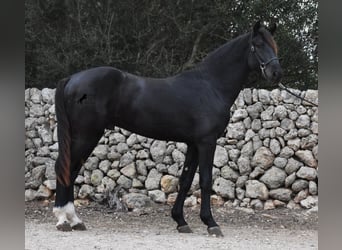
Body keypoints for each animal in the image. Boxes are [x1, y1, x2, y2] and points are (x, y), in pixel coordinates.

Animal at [52, 21, 280, 236]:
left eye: (274, 45)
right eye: (257, 45)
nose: (275, 72)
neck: (210, 85)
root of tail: (71, 79)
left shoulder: (193, 143)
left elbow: (186, 180)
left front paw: (180, 221)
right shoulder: (207, 142)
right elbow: (206, 180)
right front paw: (211, 223)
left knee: (70, 170)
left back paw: (73, 220)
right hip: (86, 135)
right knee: (67, 169)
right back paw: (65, 220)